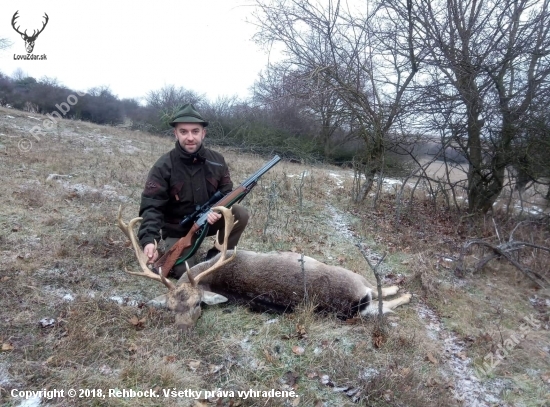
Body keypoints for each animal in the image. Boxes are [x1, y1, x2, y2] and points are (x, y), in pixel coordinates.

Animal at [116, 206, 412, 330]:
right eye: (169, 309)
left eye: (198, 304)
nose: (182, 329)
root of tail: (353, 302)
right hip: (353, 279)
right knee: (379, 297)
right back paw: (404, 293)